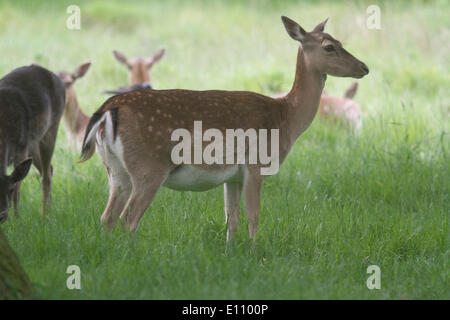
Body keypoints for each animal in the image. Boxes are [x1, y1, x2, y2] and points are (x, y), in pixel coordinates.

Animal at [0, 63, 65, 221]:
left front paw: (17, 220)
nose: (2, 216)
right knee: (49, 169)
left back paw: (45, 214)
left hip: (51, 129)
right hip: (33, 142)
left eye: (9, 190)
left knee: (46, 174)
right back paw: (49, 209)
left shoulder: (20, 147)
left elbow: (18, 188)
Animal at [80, 15, 370, 240]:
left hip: (114, 168)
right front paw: (255, 255)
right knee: (129, 216)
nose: (364, 67)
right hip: (149, 165)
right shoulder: (256, 164)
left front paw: (231, 253)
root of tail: (109, 108)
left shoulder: (232, 176)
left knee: (107, 216)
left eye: (340, 42)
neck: (285, 118)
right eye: (329, 46)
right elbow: (254, 216)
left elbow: (232, 218)